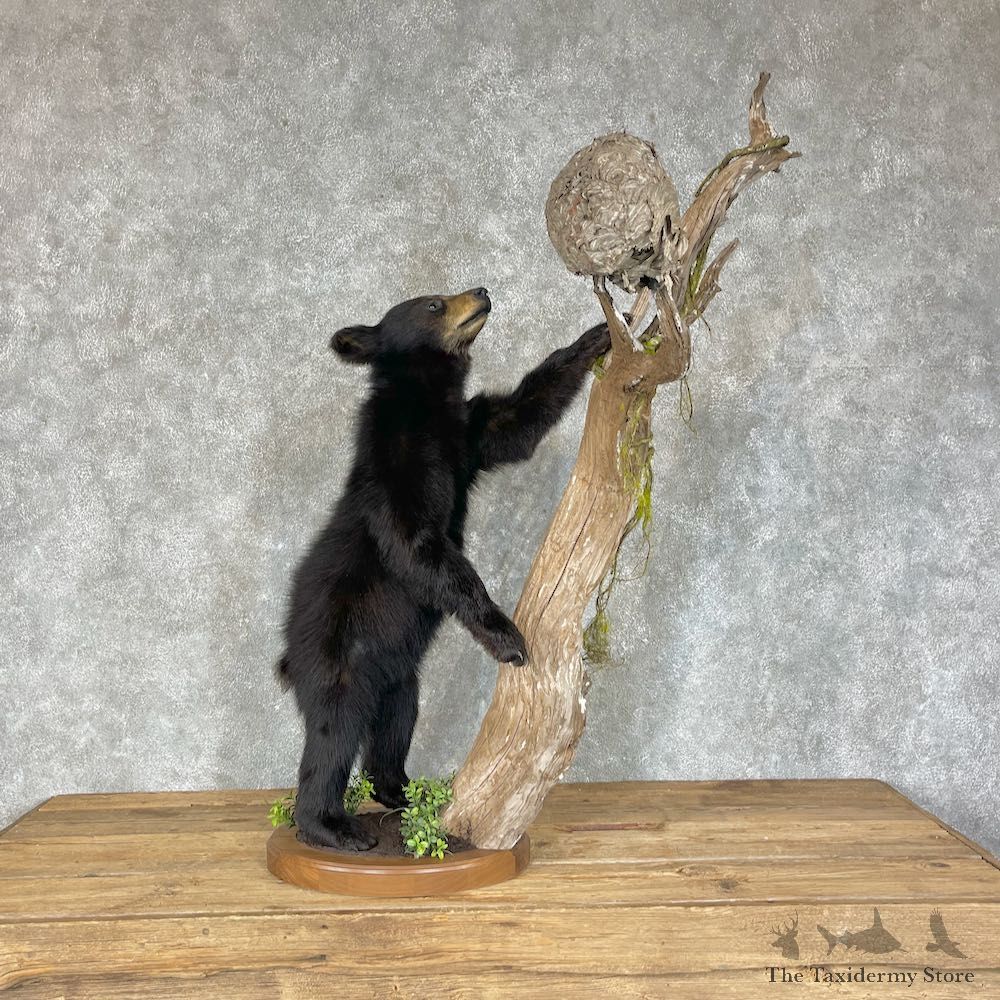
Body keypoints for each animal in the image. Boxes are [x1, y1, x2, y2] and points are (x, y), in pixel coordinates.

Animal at [277, 286, 611, 851]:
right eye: (433, 303)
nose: (481, 291)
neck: (428, 402)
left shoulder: (467, 433)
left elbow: (517, 419)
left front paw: (599, 335)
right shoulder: (396, 461)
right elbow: (418, 545)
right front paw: (507, 637)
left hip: (397, 674)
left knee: (395, 721)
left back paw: (400, 791)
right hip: (337, 657)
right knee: (332, 736)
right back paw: (334, 827)